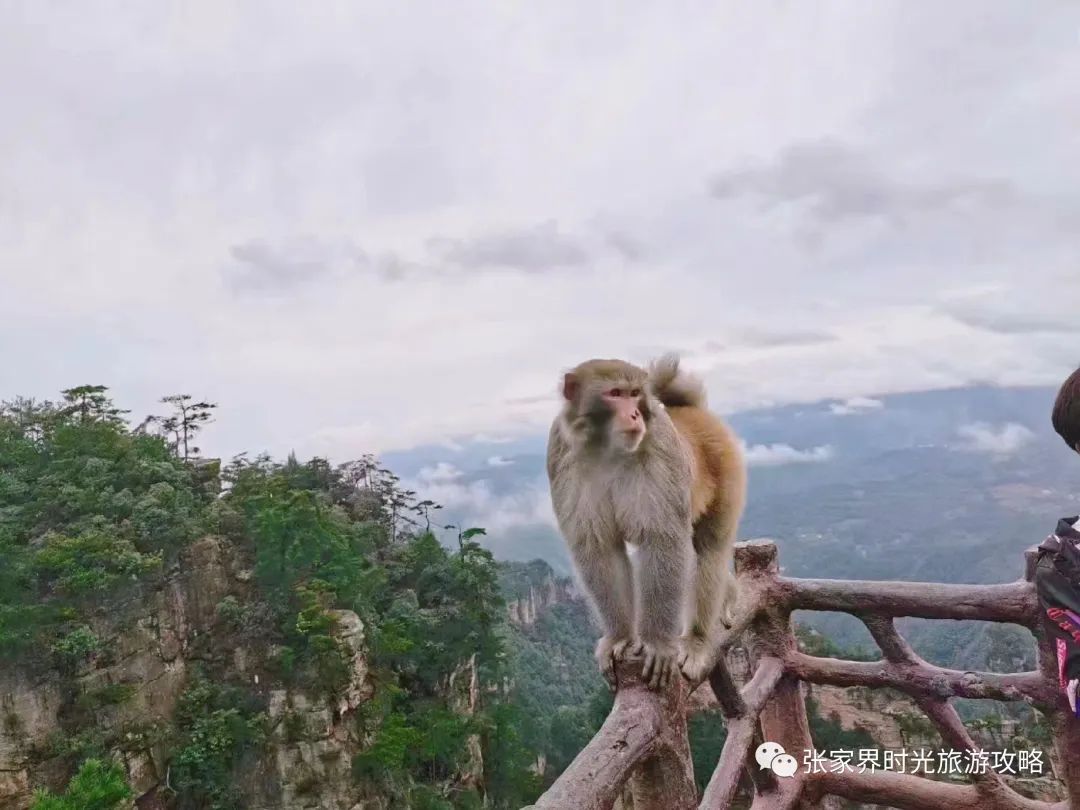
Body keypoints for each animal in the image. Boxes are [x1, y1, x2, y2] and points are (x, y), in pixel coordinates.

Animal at [548, 354, 743, 691]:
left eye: (635, 393)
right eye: (615, 393)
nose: (636, 413)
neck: (606, 449)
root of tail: (693, 412)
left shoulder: (660, 449)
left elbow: (661, 539)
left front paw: (657, 645)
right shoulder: (561, 455)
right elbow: (598, 547)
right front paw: (619, 637)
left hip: (728, 469)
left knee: (710, 550)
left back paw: (697, 639)